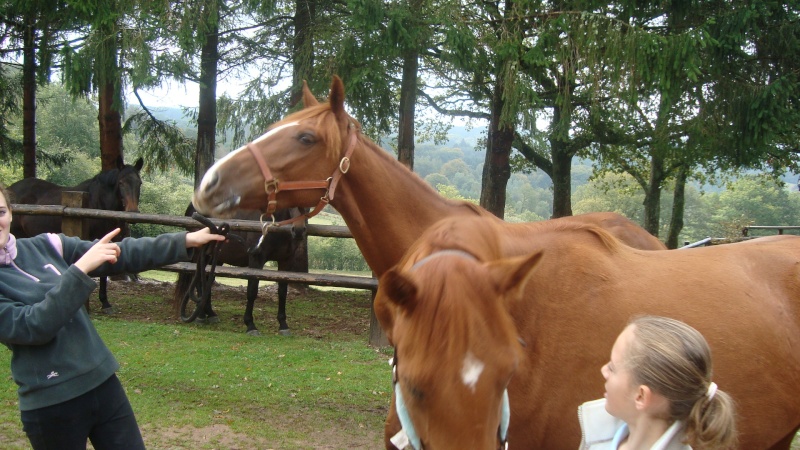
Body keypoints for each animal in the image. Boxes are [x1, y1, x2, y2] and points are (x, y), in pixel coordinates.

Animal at [172, 204, 306, 334]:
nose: (299, 231)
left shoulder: (285, 261)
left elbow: (282, 292)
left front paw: (283, 325)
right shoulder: (256, 259)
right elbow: (252, 291)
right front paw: (250, 325)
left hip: (216, 257)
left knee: (207, 281)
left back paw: (210, 314)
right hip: (200, 255)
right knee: (199, 281)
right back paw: (200, 316)